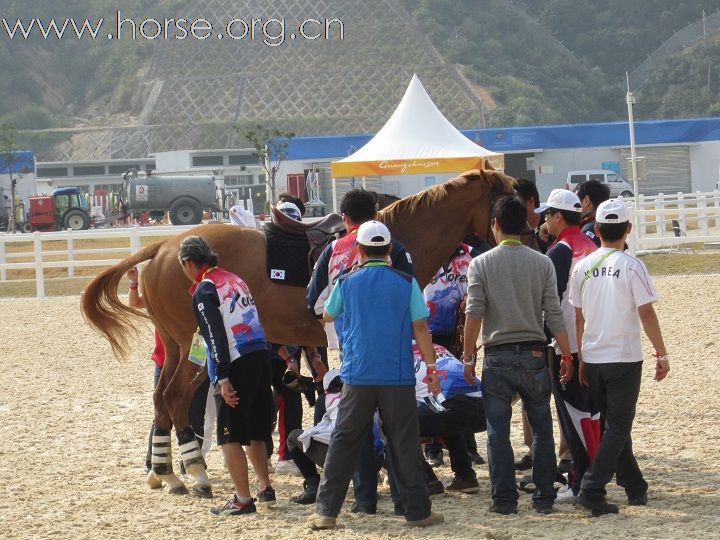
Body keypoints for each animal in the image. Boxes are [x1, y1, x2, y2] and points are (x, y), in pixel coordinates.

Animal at [81, 167, 516, 496]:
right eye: (505, 199)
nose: (521, 236)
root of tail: (163, 247)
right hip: (196, 346)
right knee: (174, 398)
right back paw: (196, 471)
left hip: (174, 344)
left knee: (160, 399)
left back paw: (167, 472)